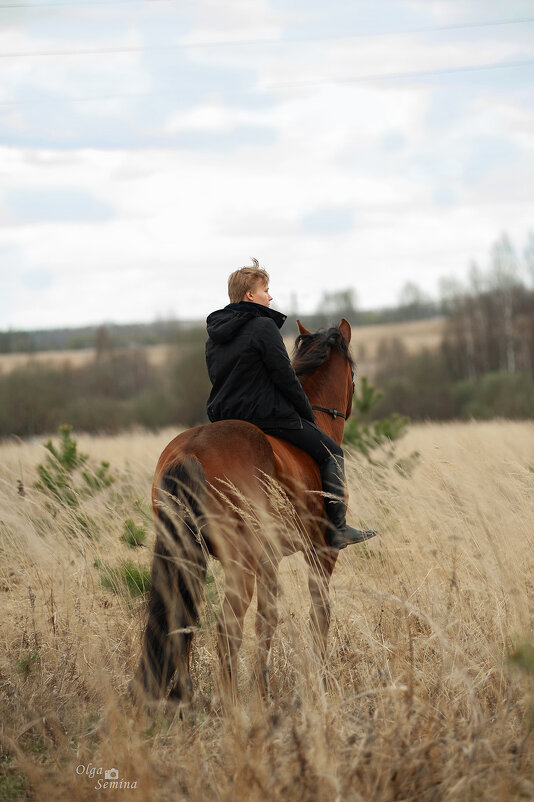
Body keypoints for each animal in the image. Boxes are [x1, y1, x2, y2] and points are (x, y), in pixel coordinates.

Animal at [135, 318, 360, 700]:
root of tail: (189, 452)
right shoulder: (322, 552)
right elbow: (320, 613)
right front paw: (321, 679)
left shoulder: (270, 559)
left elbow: (267, 620)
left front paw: (264, 689)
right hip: (239, 563)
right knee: (226, 631)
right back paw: (232, 704)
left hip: (187, 557)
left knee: (180, 624)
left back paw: (185, 699)